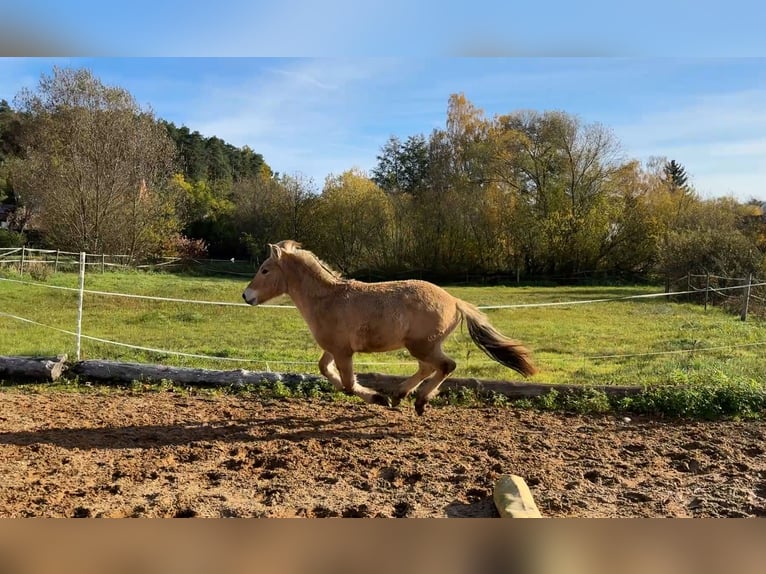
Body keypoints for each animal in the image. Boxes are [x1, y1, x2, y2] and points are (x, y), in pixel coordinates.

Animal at [242, 240, 537, 416]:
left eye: (265, 270)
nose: (246, 296)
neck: (328, 298)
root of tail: (455, 301)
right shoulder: (333, 349)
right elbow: (325, 370)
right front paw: (382, 397)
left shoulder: (344, 352)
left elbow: (349, 385)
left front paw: (378, 398)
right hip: (424, 346)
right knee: (429, 368)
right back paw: (400, 395)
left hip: (422, 345)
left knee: (445, 366)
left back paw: (418, 401)